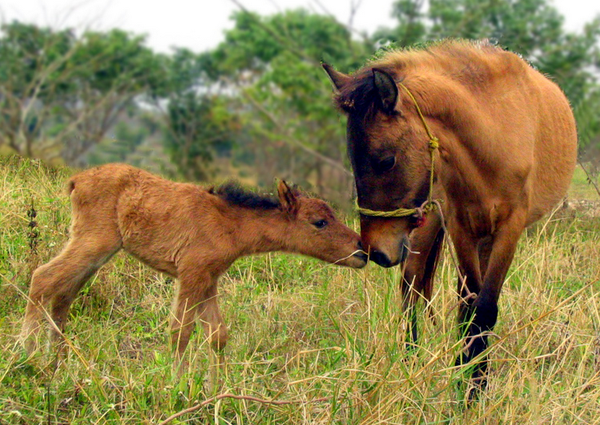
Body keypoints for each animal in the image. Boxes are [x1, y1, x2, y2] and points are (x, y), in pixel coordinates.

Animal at [326, 39, 580, 394]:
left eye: (386, 161)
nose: (375, 251)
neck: (493, 135)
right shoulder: (461, 226)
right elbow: (468, 307)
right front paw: (465, 380)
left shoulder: (507, 230)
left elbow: (482, 308)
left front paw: (472, 385)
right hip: (429, 224)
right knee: (413, 286)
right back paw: (411, 359)